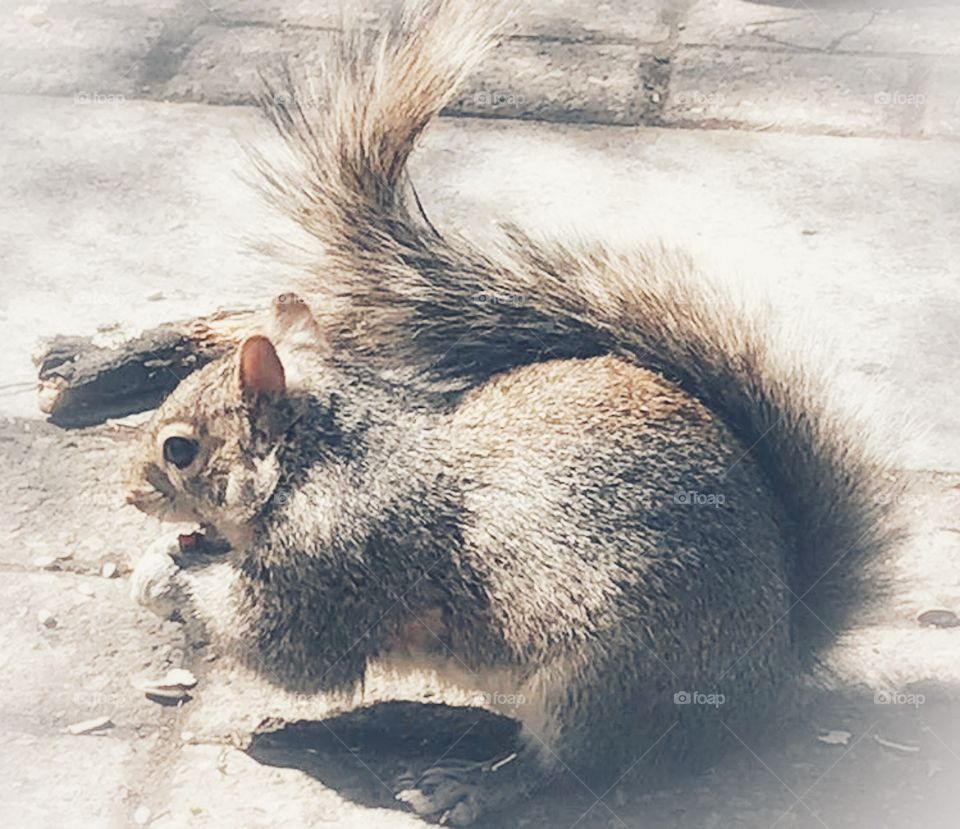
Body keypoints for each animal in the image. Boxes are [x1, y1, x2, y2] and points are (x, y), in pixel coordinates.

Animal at [125, 1, 902, 824]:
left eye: (179, 449)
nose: (129, 492)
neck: (313, 460)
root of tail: (771, 666)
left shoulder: (338, 557)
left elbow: (286, 646)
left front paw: (172, 581)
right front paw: (167, 559)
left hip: (603, 675)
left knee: (577, 768)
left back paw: (475, 783)